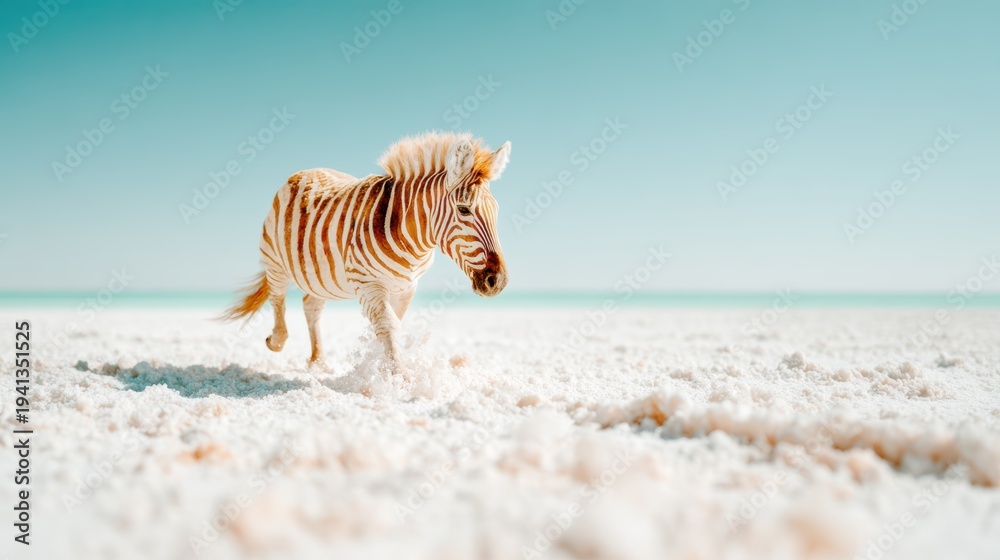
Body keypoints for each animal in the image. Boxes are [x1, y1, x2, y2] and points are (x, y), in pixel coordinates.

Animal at [223, 132, 510, 371]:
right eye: (464, 210)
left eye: (496, 212)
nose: (497, 282)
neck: (412, 241)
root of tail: (307, 170)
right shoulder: (368, 284)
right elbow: (389, 326)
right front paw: (397, 376)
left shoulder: (406, 286)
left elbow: (393, 325)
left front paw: (380, 363)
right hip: (275, 260)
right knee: (278, 298)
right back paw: (276, 341)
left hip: (321, 276)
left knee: (311, 306)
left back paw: (318, 363)